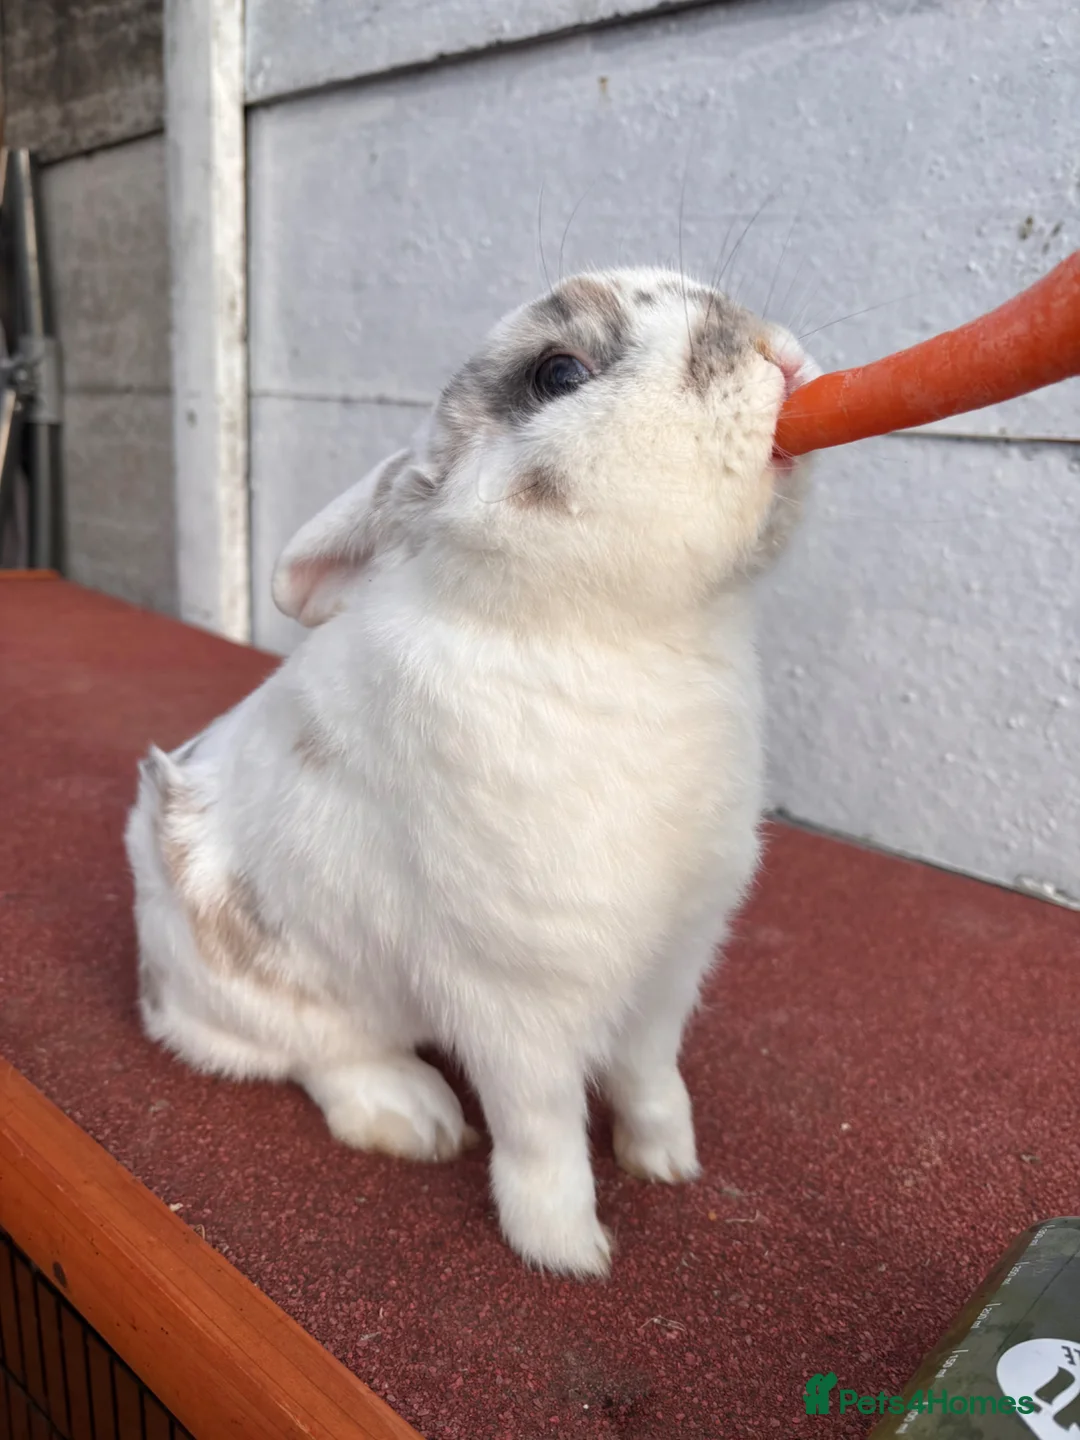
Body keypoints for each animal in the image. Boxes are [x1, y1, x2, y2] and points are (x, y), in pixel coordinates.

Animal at [125, 267, 817, 1278]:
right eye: (558, 372)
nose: (780, 356)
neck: (619, 635)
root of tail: (154, 984)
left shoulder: (672, 959)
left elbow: (649, 1070)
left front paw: (667, 1162)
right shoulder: (516, 998)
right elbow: (541, 1128)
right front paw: (568, 1251)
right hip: (264, 991)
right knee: (319, 1053)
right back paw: (417, 1118)